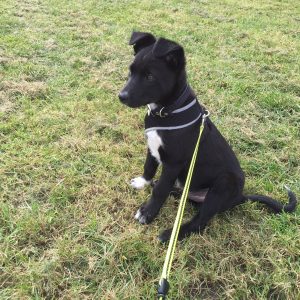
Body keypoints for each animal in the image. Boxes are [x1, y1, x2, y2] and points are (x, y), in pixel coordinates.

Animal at [119, 31, 298, 243]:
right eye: (131, 71)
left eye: (149, 76)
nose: (121, 96)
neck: (167, 111)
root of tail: (239, 197)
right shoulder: (153, 148)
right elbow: (149, 167)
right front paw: (143, 182)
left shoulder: (173, 163)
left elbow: (159, 191)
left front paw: (147, 213)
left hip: (222, 185)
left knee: (199, 222)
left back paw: (172, 234)